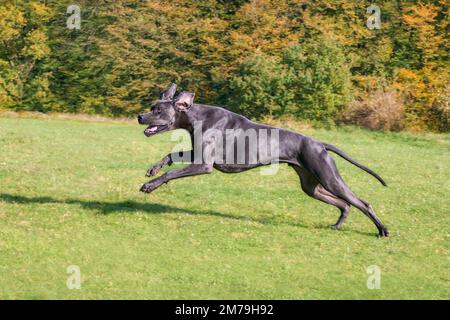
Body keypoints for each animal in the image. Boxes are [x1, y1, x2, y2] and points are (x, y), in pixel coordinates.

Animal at [139, 84, 388, 236]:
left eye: (158, 110)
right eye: (152, 107)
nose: (140, 116)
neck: (195, 116)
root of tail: (318, 143)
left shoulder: (203, 164)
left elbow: (171, 173)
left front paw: (150, 185)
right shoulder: (197, 154)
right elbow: (172, 155)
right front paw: (153, 169)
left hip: (329, 178)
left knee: (362, 203)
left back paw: (382, 230)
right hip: (311, 186)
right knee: (345, 204)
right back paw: (337, 225)